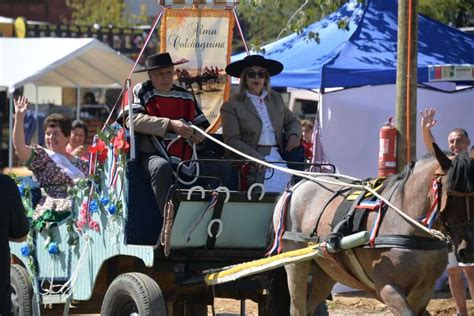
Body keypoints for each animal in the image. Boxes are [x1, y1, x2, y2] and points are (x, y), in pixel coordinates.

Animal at [274, 144, 474, 316]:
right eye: (449, 195)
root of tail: (298, 185)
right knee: (298, 306)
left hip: (326, 270)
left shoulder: (424, 290)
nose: (467, 250)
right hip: (296, 264)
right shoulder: (387, 287)